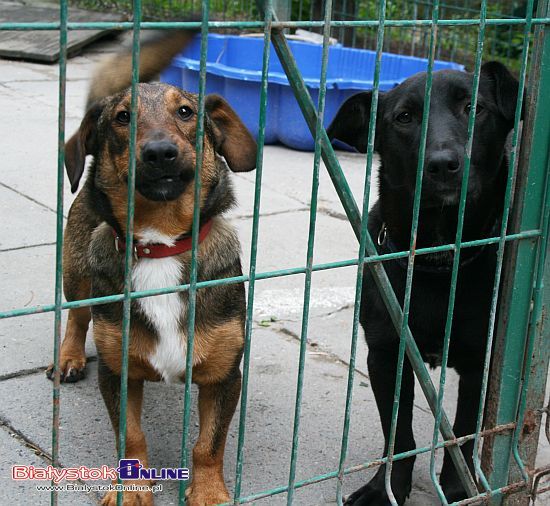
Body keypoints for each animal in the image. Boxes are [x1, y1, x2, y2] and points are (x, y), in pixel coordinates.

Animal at [45, 33, 256, 504]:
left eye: (186, 112)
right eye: (122, 118)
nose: (160, 152)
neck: (160, 244)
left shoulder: (224, 377)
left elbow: (208, 444)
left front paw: (208, 492)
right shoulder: (118, 374)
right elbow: (131, 435)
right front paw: (132, 489)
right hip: (77, 271)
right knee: (78, 315)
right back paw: (68, 357)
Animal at [330, 61, 524, 504]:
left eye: (474, 108)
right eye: (404, 117)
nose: (442, 163)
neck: (439, 260)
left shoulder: (480, 364)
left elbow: (464, 436)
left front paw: (458, 488)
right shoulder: (387, 356)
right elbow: (399, 437)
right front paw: (384, 489)